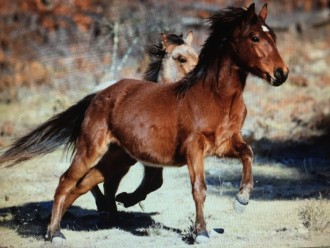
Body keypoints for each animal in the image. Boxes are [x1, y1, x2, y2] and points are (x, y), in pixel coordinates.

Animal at [0, 3, 288, 244]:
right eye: (255, 37)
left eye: (273, 37)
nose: (281, 74)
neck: (215, 97)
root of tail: (100, 94)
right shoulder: (194, 149)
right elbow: (199, 188)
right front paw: (202, 233)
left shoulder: (225, 144)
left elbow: (248, 154)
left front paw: (241, 199)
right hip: (91, 149)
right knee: (65, 181)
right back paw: (55, 233)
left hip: (117, 157)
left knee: (85, 184)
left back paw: (81, 220)